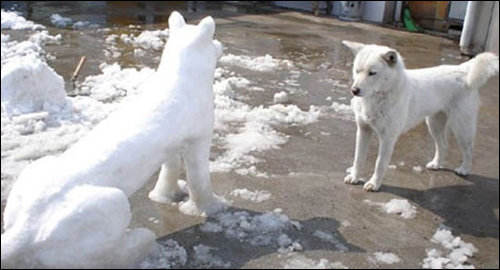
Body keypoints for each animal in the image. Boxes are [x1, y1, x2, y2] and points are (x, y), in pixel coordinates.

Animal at [1, 11, 225, 268]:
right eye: (212, 39)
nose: (221, 45)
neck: (180, 78)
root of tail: (24, 228)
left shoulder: (172, 143)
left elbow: (169, 168)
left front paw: (165, 196)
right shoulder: (200, 138)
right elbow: (199, 178)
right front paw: (211, 207)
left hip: (37, 169)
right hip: (112, 205)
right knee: (101, 257)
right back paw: (143, 242)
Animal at [342, 40, 498, 192]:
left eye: (372, 73)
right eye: (357, 71)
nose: (354, 90)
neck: (379, 98)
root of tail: (462, 70)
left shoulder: (388, 137)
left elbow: (379, 163)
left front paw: (374, 184)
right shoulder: (363, 130)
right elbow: (358, 158)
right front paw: (355, 177)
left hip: (461, 127)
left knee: (469, 149)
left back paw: (464, 169)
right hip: (434, 124)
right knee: (443, 144)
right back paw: (436, 164)